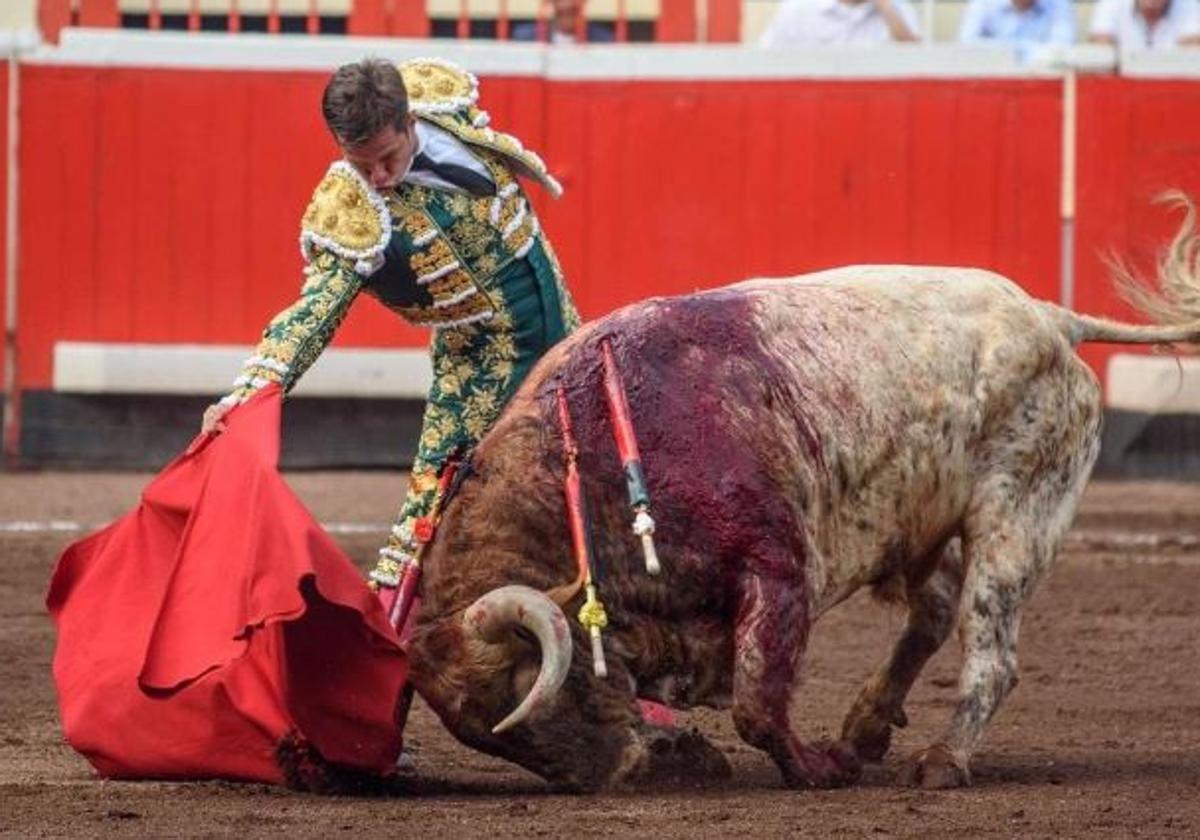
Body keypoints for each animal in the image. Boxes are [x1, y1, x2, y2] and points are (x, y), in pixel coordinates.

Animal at [405, 195, 1200, 787]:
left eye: (521, 684)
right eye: (488, 735)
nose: (616, 772)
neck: (589, 469)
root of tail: (1050, 317)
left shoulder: (780, 568)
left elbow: (759, 699)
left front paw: (815, 769)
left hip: (1016, 517)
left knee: (990, 648)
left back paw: (943, 759)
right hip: (919, 521)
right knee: (934, 612)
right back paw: (868, 725)